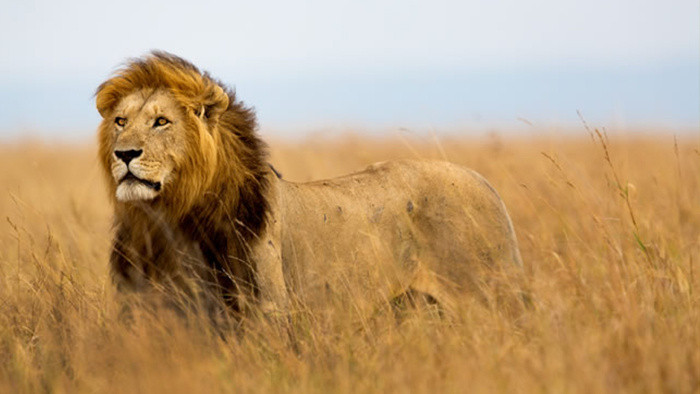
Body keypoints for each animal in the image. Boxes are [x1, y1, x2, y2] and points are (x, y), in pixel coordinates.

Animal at [97, 50, 524, 320]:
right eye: (120, 121)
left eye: (161, 122)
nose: (124, 154)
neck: (168, 218)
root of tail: (485, 182)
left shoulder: (266, 312)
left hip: (490, 298)